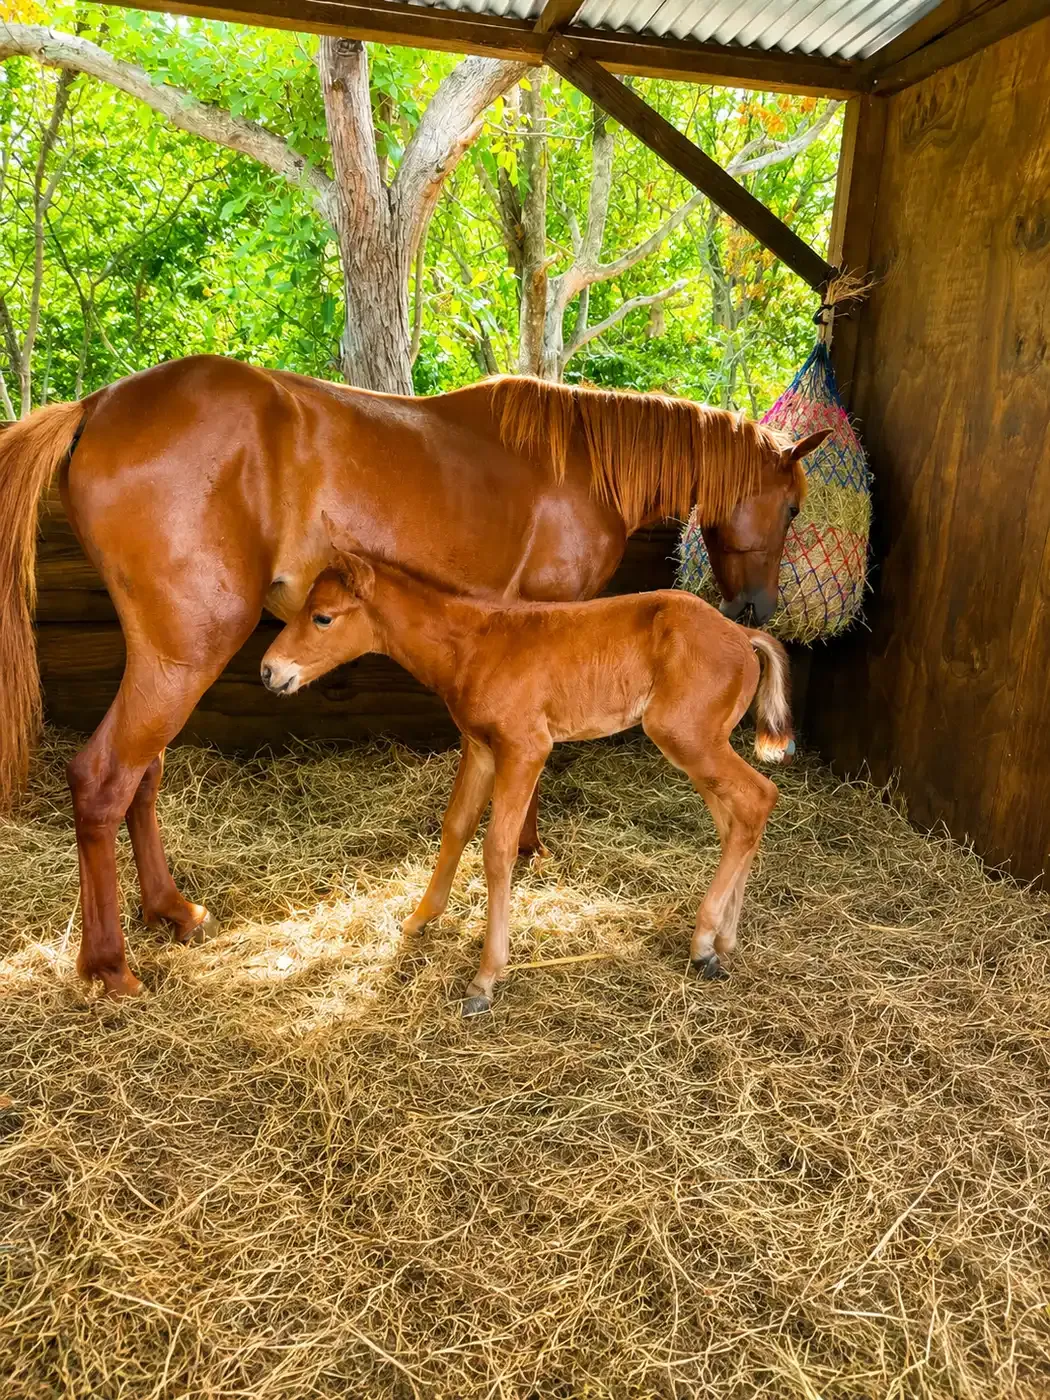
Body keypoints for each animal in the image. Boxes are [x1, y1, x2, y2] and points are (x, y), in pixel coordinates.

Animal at [262, 525, 794, 1013]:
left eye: (323, 617)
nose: (269, 670)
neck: (473, 644)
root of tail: (743, 635)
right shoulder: (480, 749)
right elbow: (455, 826)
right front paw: (419, 919)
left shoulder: (526, 749)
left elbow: (497, 850)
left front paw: (484, 978)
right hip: (699, 745)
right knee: (736, 821)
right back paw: (724, 941)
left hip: (687, 737)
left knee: (758, 797)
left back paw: (704, 943)